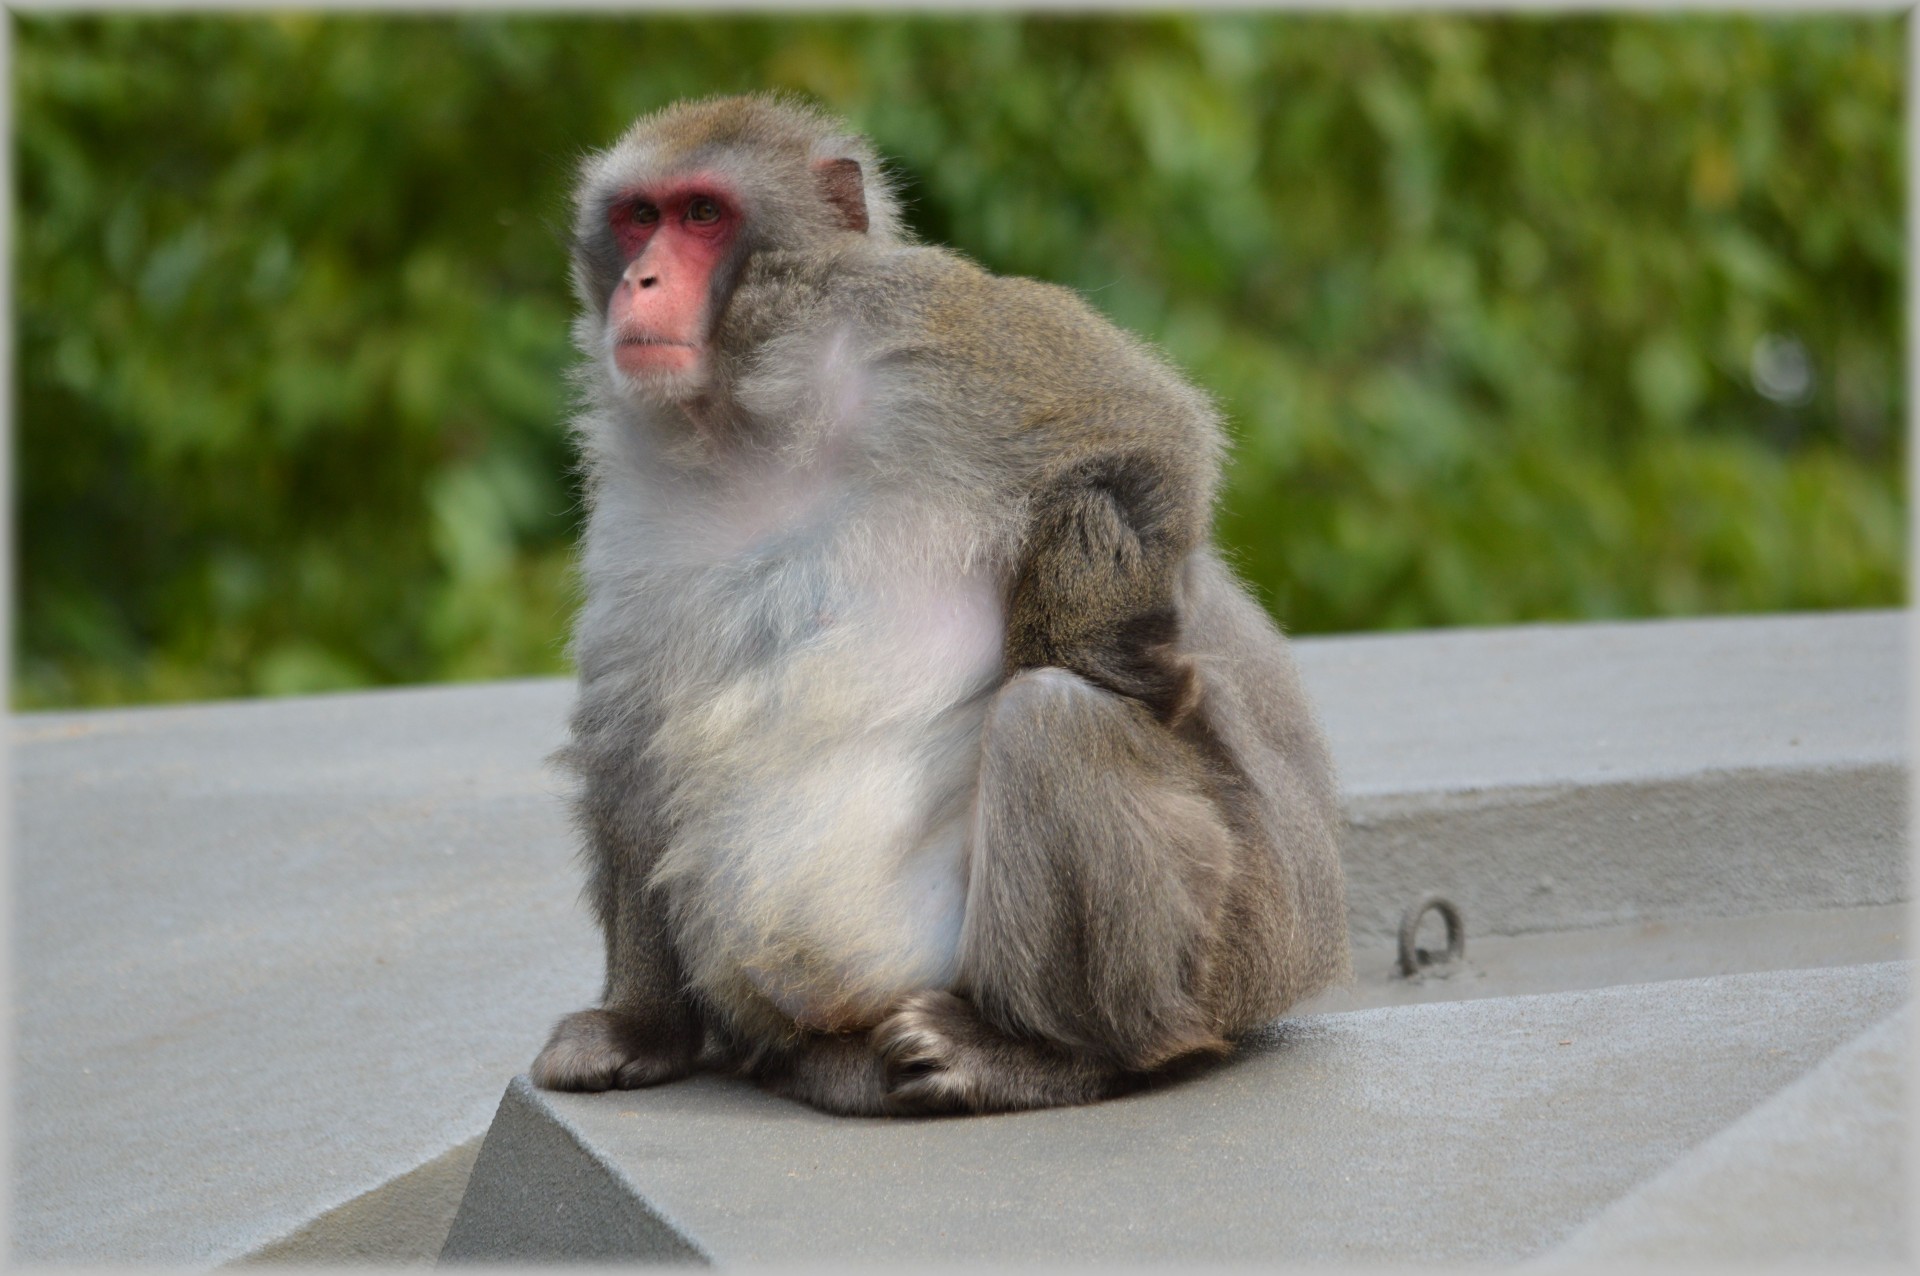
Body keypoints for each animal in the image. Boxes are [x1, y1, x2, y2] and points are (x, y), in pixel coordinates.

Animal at [529, 94, 1351, 1112]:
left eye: (704, 215)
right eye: (640, 216)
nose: (641, 280)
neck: (752, 414)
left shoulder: (927, 329)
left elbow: (1149, 429)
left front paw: (1080, 636)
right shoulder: (637, 482)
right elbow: (628, 735)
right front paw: (643, 1028)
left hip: (1219, 956)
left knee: (1052, 720)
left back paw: (1043, 1054)